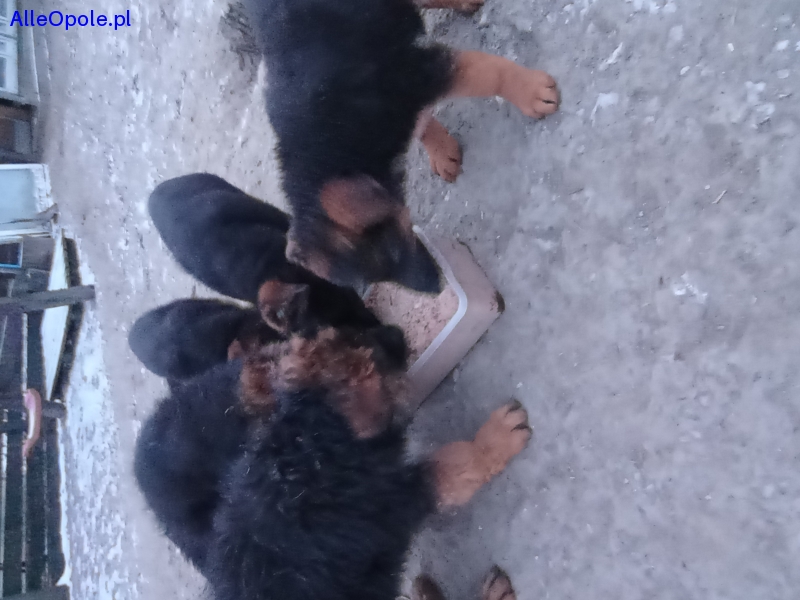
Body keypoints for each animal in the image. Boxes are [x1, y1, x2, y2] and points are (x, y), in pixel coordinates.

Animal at [240, 0, 560, 292]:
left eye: (394, 251)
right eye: (377, 280)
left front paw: (530, 92)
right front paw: (441, 151)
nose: (437, 289)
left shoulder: (416, 71)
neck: (326, 144)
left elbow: (491, 74)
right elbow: (421, 123)